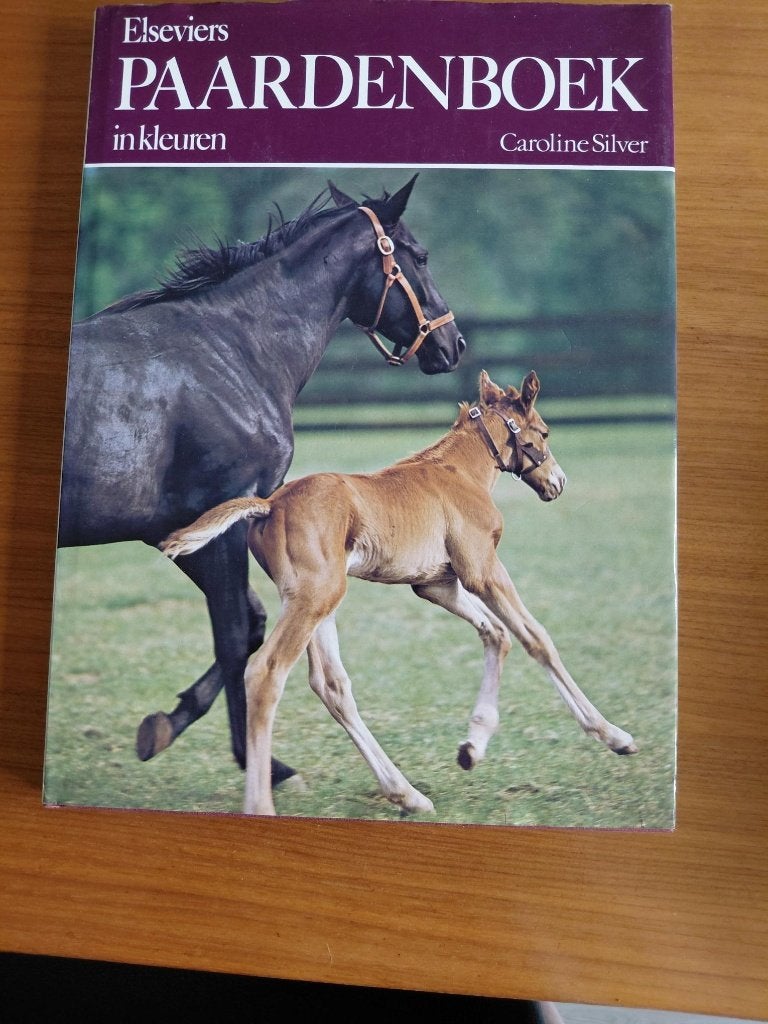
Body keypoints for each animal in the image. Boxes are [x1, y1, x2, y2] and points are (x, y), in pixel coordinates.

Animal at [56, 175, 466, 780]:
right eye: (419, 256)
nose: (451, 343)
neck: (232, 351)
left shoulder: (183, 531)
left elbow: (248, 624)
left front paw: (162, 726)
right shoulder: (225, 514)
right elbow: (231, 635)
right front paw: (258, 761)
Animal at [162, 371, 637, 816]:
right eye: (544, 431)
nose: (558, 482)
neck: (458, 474)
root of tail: (269, 505)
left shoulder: (436, 583)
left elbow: (496, 634)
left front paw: (472, 747)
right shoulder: (482, 569)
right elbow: (535, 638)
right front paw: (614, 736)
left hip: (312, 600)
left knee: (331, 684)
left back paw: (407, 794)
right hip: (314, 598)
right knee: (266, 671)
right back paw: (263, 804)